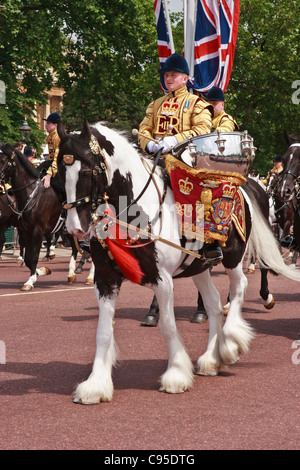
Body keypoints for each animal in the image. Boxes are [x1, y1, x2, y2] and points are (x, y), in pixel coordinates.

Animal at [56, 121, 300, 404]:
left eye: (87, 171)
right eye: (59, 172)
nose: (75, 228)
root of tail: (245, 183)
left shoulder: (162, 279)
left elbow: (168, 326)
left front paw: (176, 375)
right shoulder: (106, 279)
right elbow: (103, 332)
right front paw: (96, 385)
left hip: (233, 257)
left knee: (239, 287)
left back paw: (230, 345)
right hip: (199, 267)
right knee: (213, 302)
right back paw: (211, 359)